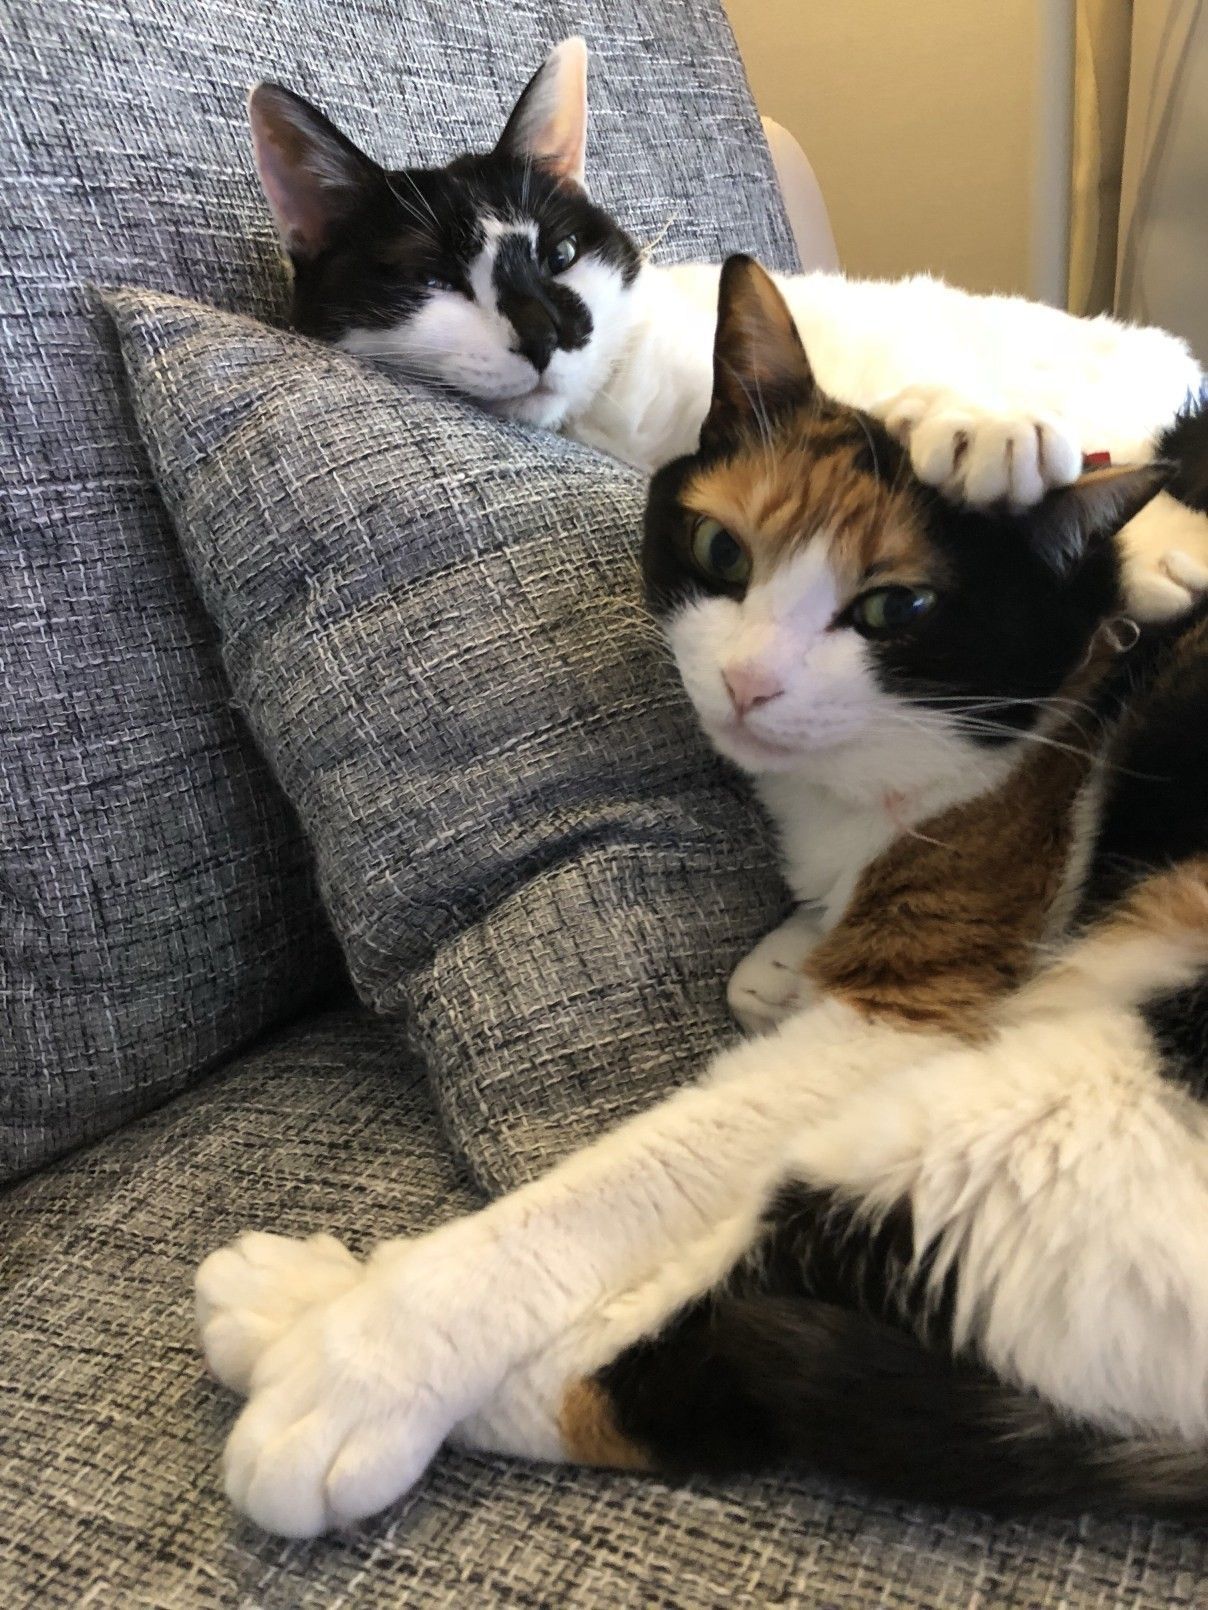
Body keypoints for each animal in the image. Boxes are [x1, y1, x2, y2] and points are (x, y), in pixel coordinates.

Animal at [196, 255, 1208, 1535]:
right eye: (724, 555)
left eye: (893, 612)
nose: (745, 680)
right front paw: (783, 947)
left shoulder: (919, 989)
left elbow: (636, 1175)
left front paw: (363, 1361)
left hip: (1059, 1119)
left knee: (699, 1363)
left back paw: (296, 1314)